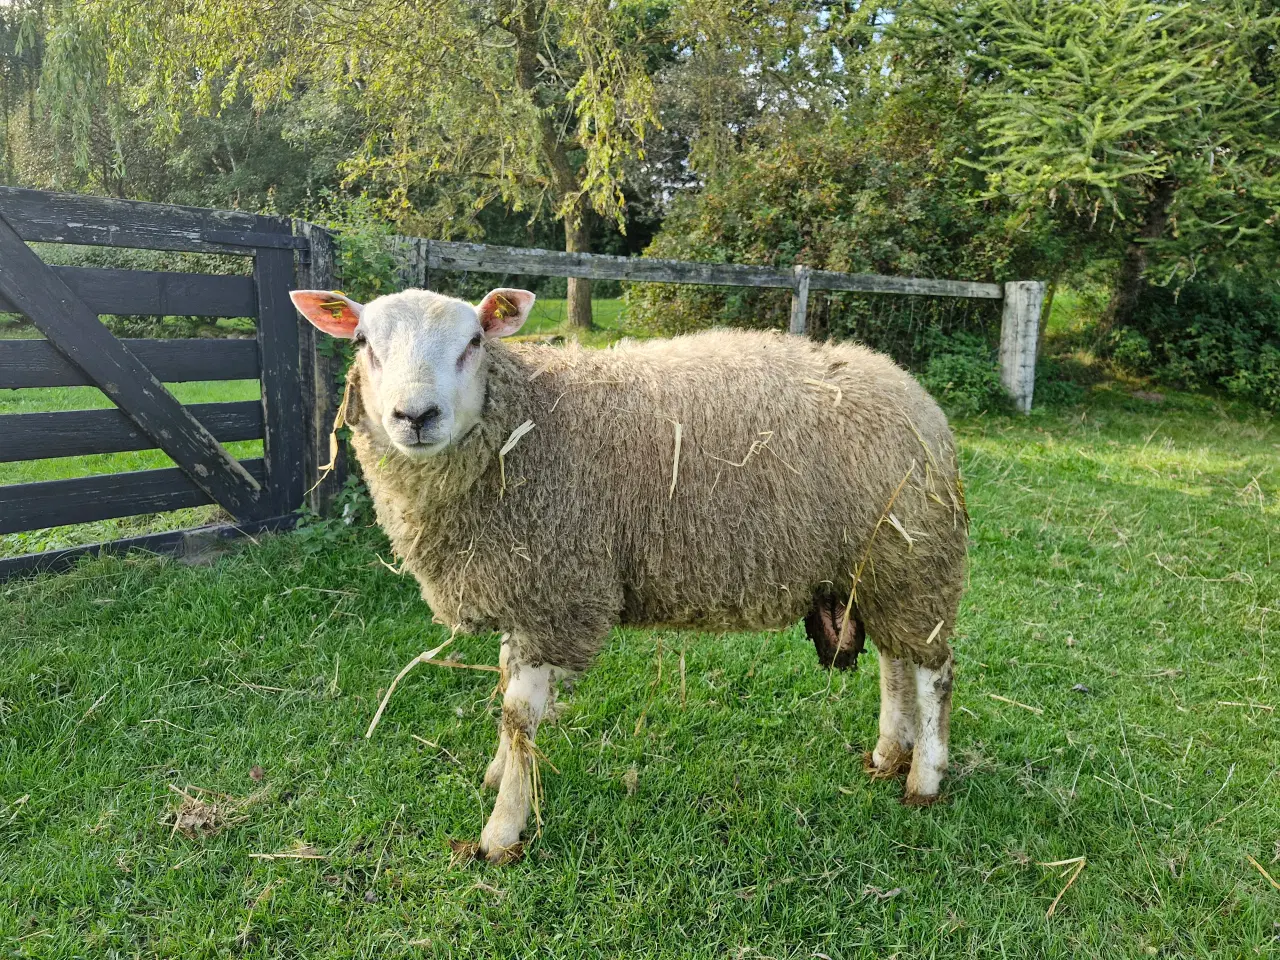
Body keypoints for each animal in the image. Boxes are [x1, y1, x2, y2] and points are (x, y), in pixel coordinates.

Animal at [293, 285, 967, 865]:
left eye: (474, 342)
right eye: (363, 342)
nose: (415, 416)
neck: (523, 427)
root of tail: (912, 391)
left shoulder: (556, 592)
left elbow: (518, 714)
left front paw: (502, 832)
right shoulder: (523, 587)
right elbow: (507, 691)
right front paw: (499, 773)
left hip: (916, 560)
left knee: (933, 671)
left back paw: (925, 778)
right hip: (880, 569)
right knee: (895, 662)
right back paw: (888, 754)